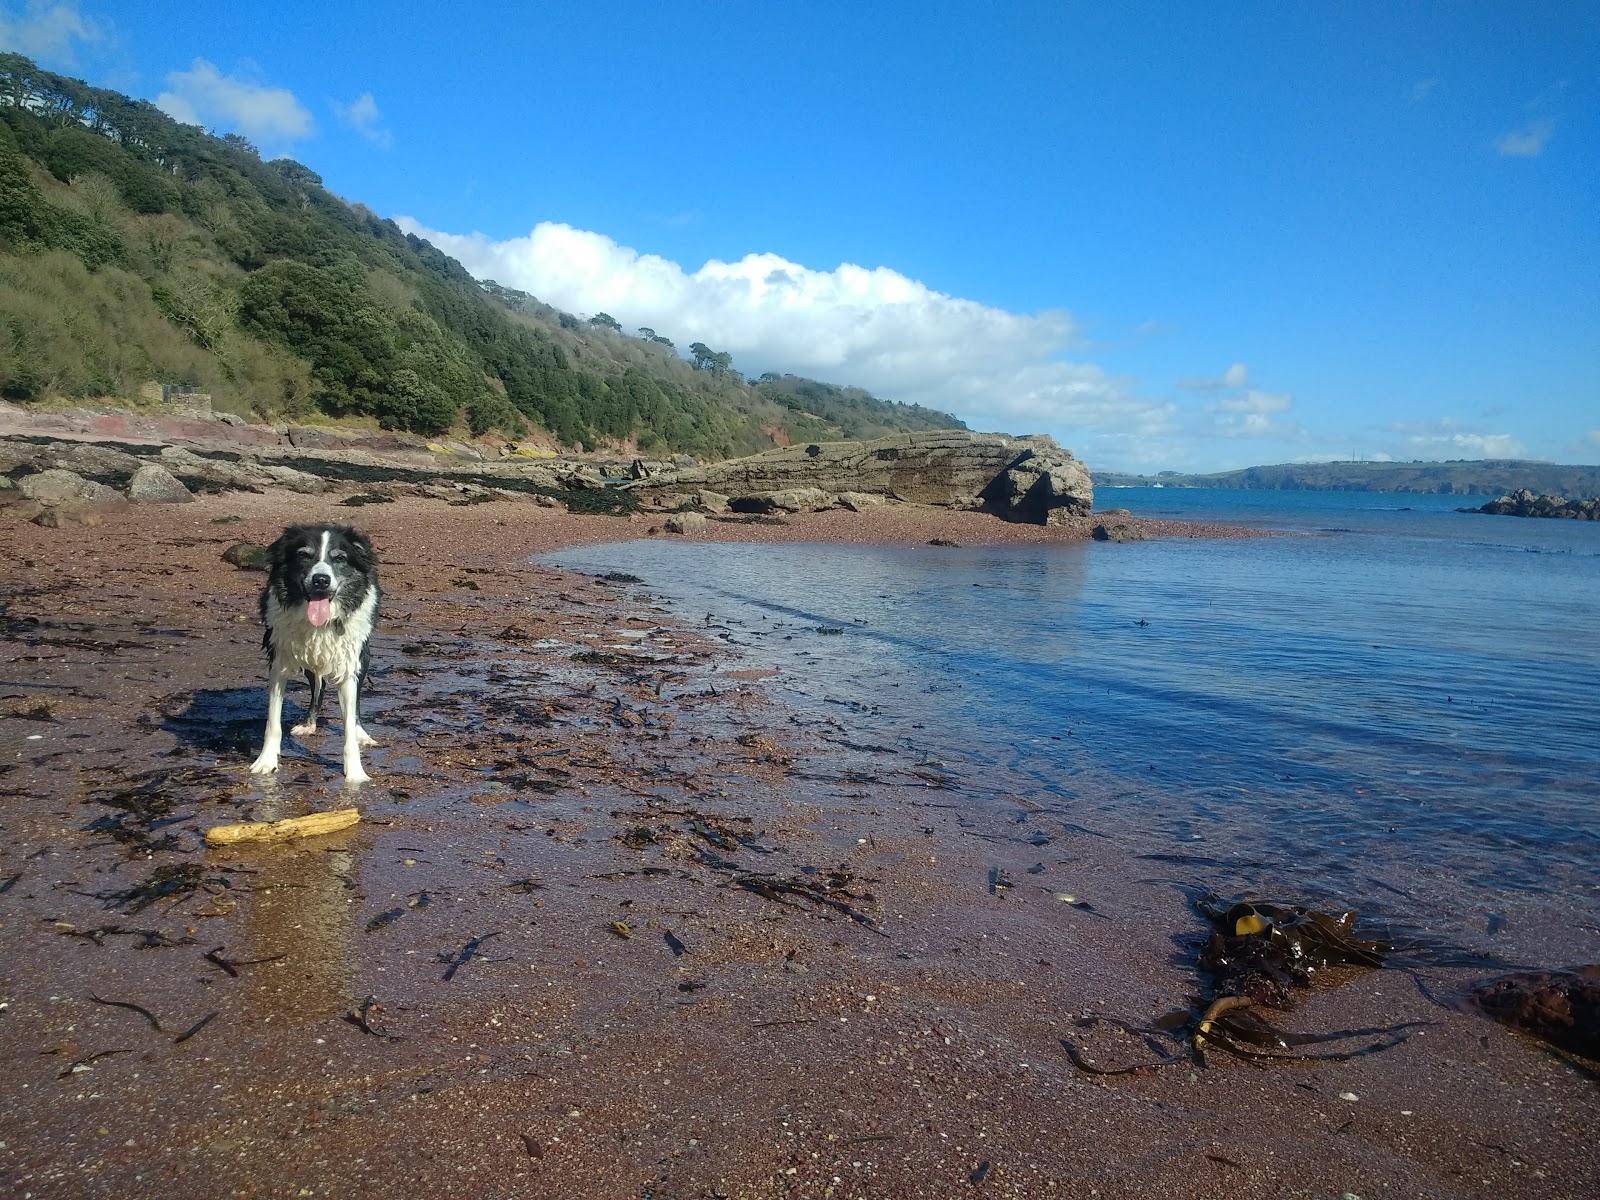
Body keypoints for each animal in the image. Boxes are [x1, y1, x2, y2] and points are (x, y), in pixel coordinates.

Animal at [249, 521, 380, 784]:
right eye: (303, 556)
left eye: (339, 558)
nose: (321, 580)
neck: (321, 624)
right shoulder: (278, 662)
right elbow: (273, 722)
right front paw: (266, 762)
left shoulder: (349, 666)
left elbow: (349, 724)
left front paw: (355, 773)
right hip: (309, 662)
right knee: (318, 687)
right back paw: (309, 723)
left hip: (363, 657)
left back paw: (362, 733)